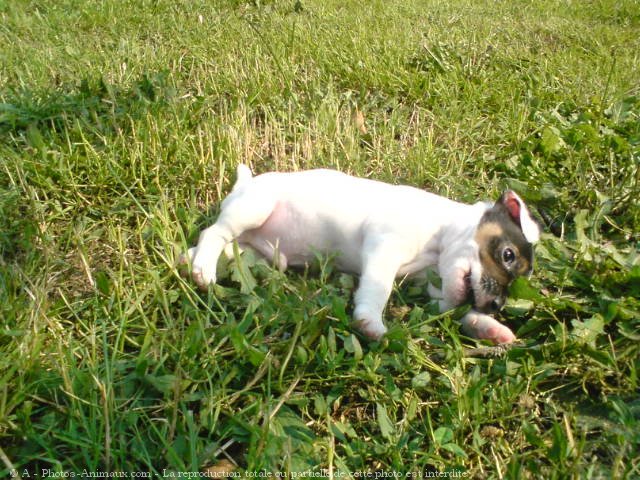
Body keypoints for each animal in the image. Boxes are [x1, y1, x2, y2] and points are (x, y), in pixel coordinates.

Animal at [181, 166, 540, 344]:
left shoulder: (431, 291)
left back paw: (191, 260)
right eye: (508, 255)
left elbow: (455, 311)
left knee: (214, 245)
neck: (439, 234)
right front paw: (370, 322)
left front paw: (489, 328)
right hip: (254, 208)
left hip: (249, 250)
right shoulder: (384, 248)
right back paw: (203, 270)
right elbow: (378, 290)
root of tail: (246, 181)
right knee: (213, 232)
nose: (497, 305)